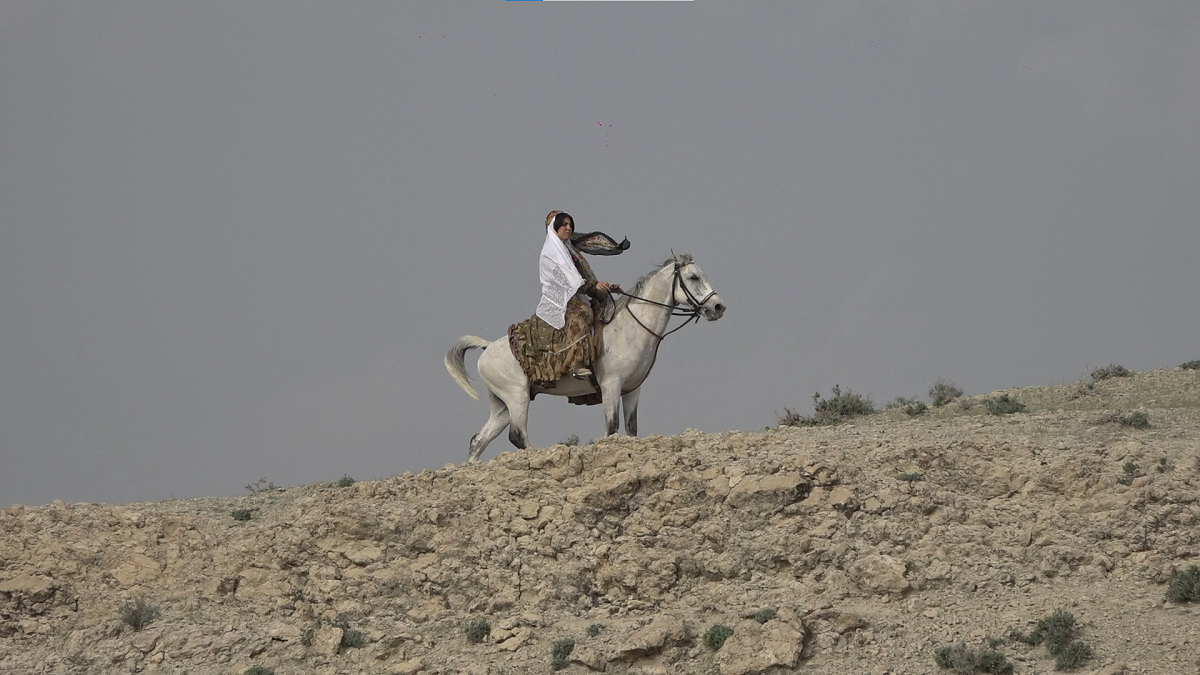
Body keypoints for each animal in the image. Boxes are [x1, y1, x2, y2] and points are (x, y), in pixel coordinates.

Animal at [441, 252, 720, 461]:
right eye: (694, 277)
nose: (718, 307)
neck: (630, 328)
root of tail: (487, 348)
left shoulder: (632, 390)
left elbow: (631, 429)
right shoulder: (611, 386)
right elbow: (612, 428)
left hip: (501, 406)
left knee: (478, 441)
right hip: (517, 396)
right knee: (517, 436)